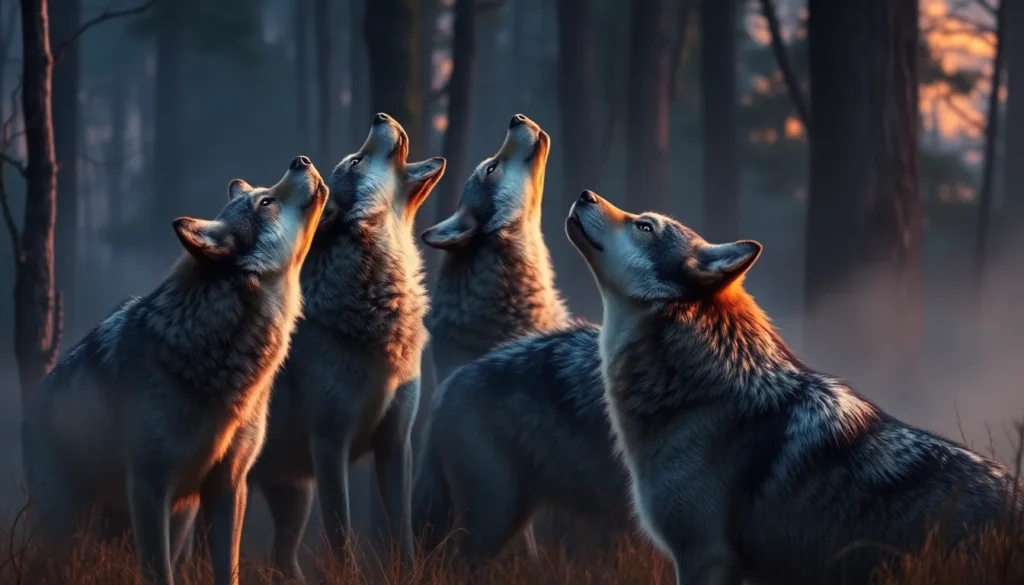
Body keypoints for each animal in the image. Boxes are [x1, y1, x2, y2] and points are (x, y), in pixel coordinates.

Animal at [21, 156, 328, 585]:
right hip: (70, 523)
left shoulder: (229, 486)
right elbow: (158, 573)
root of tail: (33, 403)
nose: (300, 160)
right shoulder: (149, 489)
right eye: (265, 201)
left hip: (177, 518)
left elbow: (227, 571)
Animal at [246, 113, 444, 582]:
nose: (381, 116)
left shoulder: (396, 443)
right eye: (356, 160)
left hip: (294, 500)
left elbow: (403, 535)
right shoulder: (329, 446)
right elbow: (341, 538)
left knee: (282, 561)